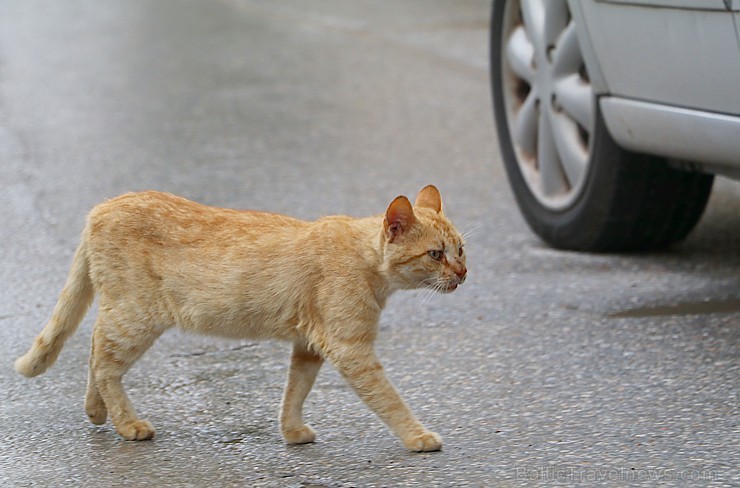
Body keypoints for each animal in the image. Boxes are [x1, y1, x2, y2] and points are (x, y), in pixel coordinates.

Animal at [15, 185, 468, 452]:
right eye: (435, 254)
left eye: (461, 249)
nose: (464, 273)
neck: (366, 261)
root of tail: (102, 207)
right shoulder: (351, 348)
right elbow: (389, 398)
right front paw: (417, 435)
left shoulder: (308, 346)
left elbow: (295, 391)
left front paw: (291, 430)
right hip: (136, 317)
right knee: (104, 361)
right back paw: (127, 424)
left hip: (125, 315)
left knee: (95, 350)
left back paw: (96, 411)